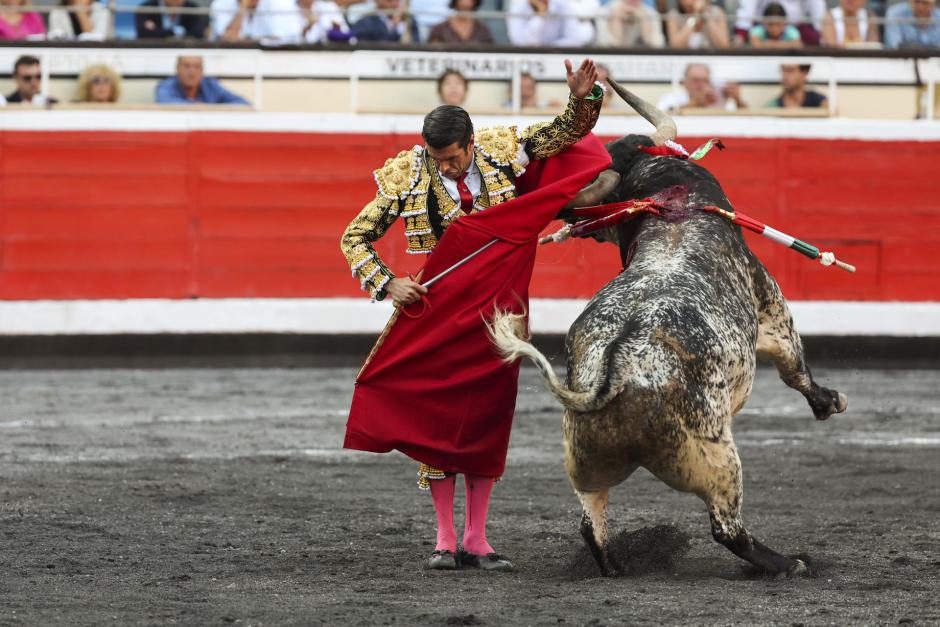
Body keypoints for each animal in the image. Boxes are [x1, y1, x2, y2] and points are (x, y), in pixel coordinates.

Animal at [488, 81, 848, 580]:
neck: (670, 205)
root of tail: (615, 371)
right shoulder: (770, 305)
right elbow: (794, 365)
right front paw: (828, 401)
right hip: (716, 455)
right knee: (727, 527)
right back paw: (787, 563)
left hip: (584, 461)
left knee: (591, 522)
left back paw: (617, 566)